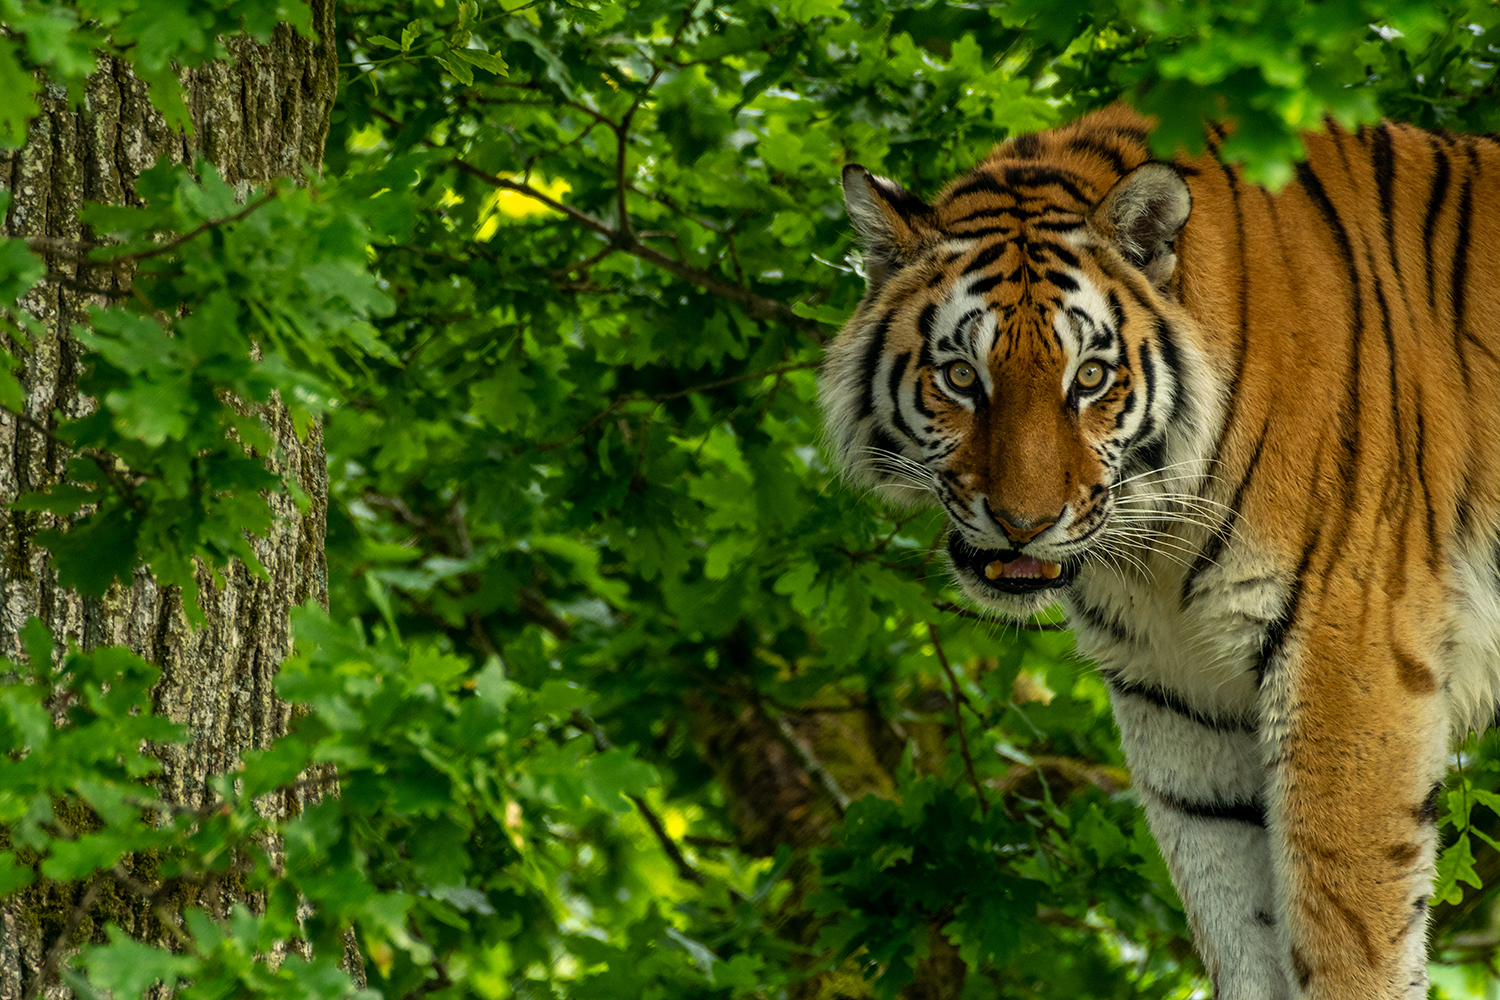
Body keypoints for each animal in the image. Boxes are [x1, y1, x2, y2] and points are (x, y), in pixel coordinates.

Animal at [817, 104, 1500, 998]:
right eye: (962, 377)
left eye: (1090, 377)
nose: (1023, 523)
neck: (1157, 554)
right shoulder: (1182, 699)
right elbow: (1241, 931)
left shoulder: (1353, 656)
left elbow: (1343, 936)